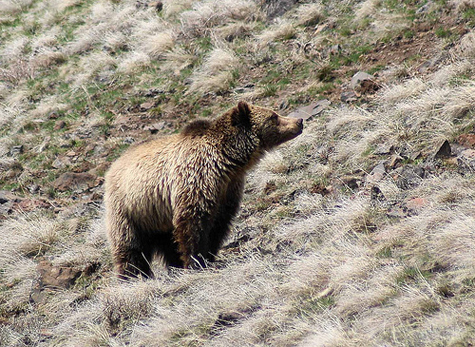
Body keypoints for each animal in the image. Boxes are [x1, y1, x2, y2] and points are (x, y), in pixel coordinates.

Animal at [105, 101, 304, 280]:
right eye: (273, 116)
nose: (299, 121)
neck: (226, 162)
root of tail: (112, 167)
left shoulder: (227, 189)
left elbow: (218, 225)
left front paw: (208, 257)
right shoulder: (197, 179)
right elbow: (193, 222)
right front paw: (196, 262)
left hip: (157, 215)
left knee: (167, 242)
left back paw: (173, 267)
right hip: (130, 208)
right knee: (130, 245)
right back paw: (132, 276)